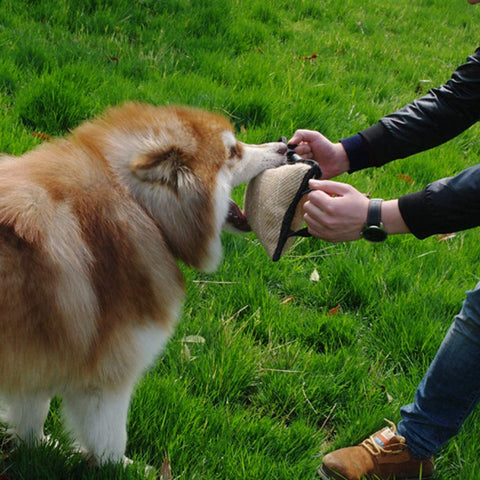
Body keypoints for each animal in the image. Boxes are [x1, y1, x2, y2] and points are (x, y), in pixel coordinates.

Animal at [0, 103, 284, 466]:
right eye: (233, 152)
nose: (286, 146)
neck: (140, 207)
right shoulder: (109, 372)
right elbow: (110, 439)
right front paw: (123, 468)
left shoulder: (39, 354)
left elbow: (31, 415)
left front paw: (38, 446)